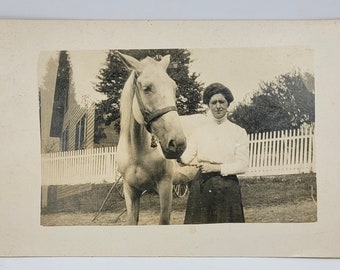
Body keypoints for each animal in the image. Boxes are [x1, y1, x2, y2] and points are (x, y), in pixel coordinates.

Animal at [116, 51, 186, 225]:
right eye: (147, 88)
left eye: (175, 89)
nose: (178, 143)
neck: (137, 153)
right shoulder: (130, 191)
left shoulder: (166, 186)